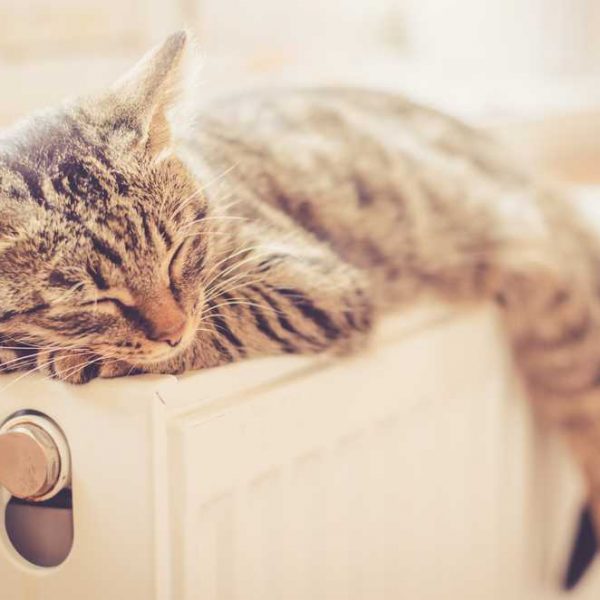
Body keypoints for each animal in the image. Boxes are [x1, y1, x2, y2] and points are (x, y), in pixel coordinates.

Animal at [1, 31, 600, 584]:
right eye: (96, 298)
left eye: (176, 253)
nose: (172, 331)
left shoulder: (316, 281)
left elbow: (226, 318)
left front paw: (93, 357)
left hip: (561, 334)